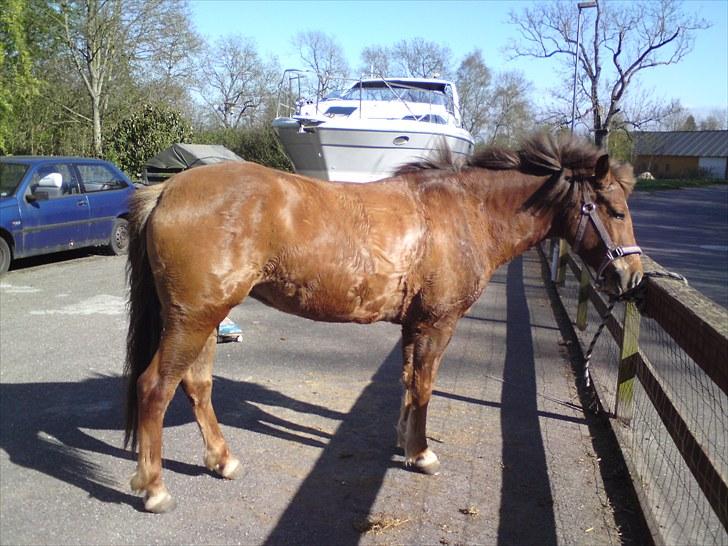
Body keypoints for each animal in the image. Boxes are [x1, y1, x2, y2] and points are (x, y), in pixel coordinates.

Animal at [123, 132, 644, 510]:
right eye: (615, 210)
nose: (632, 277)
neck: (465, 214)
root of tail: (167, 188)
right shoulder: (437, 324)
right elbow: (425, 387)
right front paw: (422, 453)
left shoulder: (414, 326)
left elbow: (409, 382)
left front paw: (405, 442)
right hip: (193, 320)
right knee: (155, 388)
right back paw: (154, 489)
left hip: (204, 320)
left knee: (197, 386)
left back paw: (222, 461)